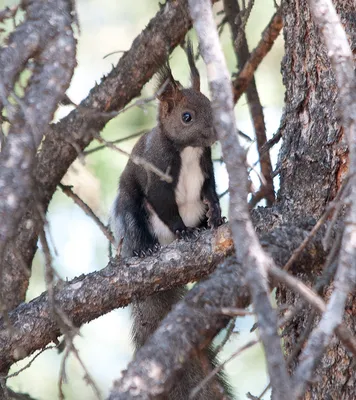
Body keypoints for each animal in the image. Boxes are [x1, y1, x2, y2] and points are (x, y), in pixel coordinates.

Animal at [111, 41, 234, 400]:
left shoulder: (206, 169)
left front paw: (216, 214)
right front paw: (181, 231)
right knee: (137, 224)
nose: (215, 133)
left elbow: (210, 192)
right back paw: (147, 249)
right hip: (130, 210)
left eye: (210, 103)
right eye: (186, 116)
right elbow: (165, 206)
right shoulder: (156, 177)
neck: (189, 150)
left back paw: (204, 226)